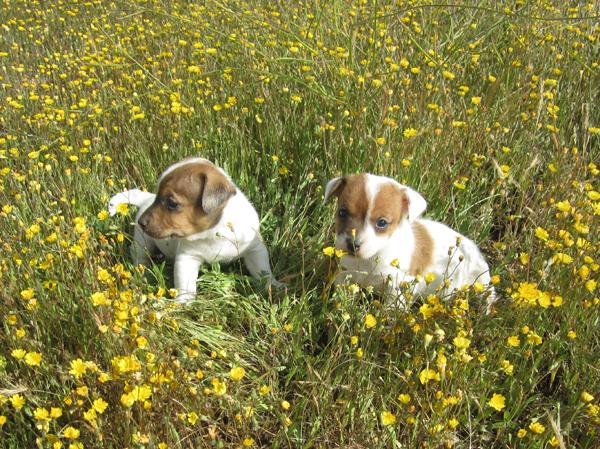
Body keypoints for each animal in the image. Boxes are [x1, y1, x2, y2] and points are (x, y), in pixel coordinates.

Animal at [108, 157, 282, 300]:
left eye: (172, 203)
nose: (142, 222)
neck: (216, 232)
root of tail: (146, 199)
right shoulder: (187, 258)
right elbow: (185, 284)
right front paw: (183, 302)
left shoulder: (254, 249)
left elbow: (263, 270)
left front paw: (273, 286)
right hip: (143, 242)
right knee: (139, 256)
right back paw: (143, 274)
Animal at [326, 172, 494, 312]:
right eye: (342, 213)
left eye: (382, 222)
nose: (352, 245)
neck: (371, 257)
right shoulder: (345, 274)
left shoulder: (398, 285)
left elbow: (391, 309)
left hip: (477, 283)